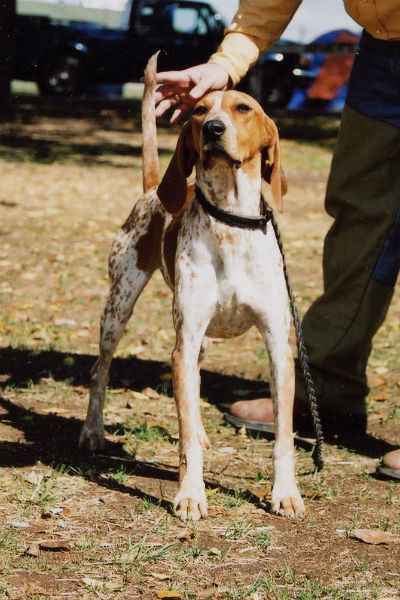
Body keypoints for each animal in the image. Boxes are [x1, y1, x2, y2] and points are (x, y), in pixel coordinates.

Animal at [81, 56, 306, 520]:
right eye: (199, 110)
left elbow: (283, 436)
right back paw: (92, 432)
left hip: (199, 339)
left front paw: (286, 493)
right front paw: (189, 494)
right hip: (119, 309)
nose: (213, 129)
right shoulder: (181, 346)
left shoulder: (278, 347)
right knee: (100, 371)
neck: (231, 221)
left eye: (242, 108)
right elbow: (184, 434)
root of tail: (153, 187)